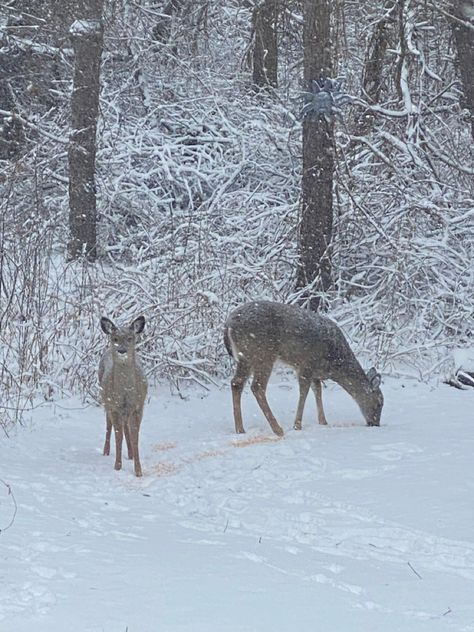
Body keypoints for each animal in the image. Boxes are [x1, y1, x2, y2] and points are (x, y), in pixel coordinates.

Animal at [98, 314, 146, 476]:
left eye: (130, 338)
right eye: (115, 338)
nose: (122, 350)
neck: (125, 393)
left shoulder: (138, 406)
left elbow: (135, 436)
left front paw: (138, 470)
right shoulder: (114, 406)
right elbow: (117, 436)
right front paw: (117, 466)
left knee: (126, 427)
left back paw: (130, 454)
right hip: (105, 400)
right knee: (108, 424)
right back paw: (106, 451)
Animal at [224, 302, 384, 434]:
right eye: (379, 403)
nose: (375, 423)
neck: (334, 362)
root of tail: (228, 324)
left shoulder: (314, 373)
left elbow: (318, 391)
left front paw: (323, 422)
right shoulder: (306, 365)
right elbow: (304, 392)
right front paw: (297, 425)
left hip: (245, 357)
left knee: (236, 383)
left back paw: (240, 429)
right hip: (263, 354)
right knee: (257, 386)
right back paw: (277, 429)